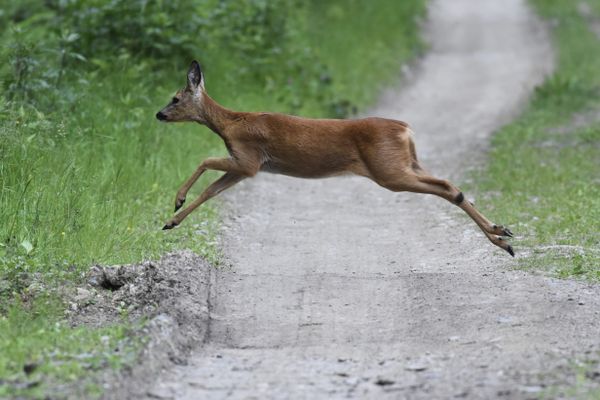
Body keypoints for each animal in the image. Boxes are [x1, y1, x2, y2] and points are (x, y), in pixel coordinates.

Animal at [156, 61, 516, 258]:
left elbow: (204, 161)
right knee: (448, 184)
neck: (230, 124)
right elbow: (210, 191)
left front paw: (176, 201)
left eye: (175, 98)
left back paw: (500, 237)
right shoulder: (244, 167)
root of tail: (406, 129)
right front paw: (172, 220)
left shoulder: (249, 160)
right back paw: (501, 234)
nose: (159, 114)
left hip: (389, 171)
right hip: (406, 163)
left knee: (446, 186)